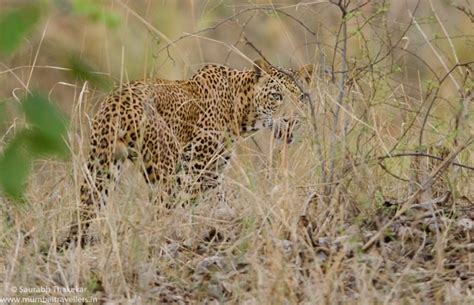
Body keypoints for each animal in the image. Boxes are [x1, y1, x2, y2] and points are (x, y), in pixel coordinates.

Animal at [64, 58, 314, 247]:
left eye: (301, 97)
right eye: (276, 96)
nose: (293, 119)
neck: (242, 111)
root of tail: (116, 103)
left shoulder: (212, 171)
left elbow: (221, 200)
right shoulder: (199, 166)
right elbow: (204, 202)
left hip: (102, 164)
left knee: (84, 210)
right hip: (164, 166)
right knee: (162, 212)